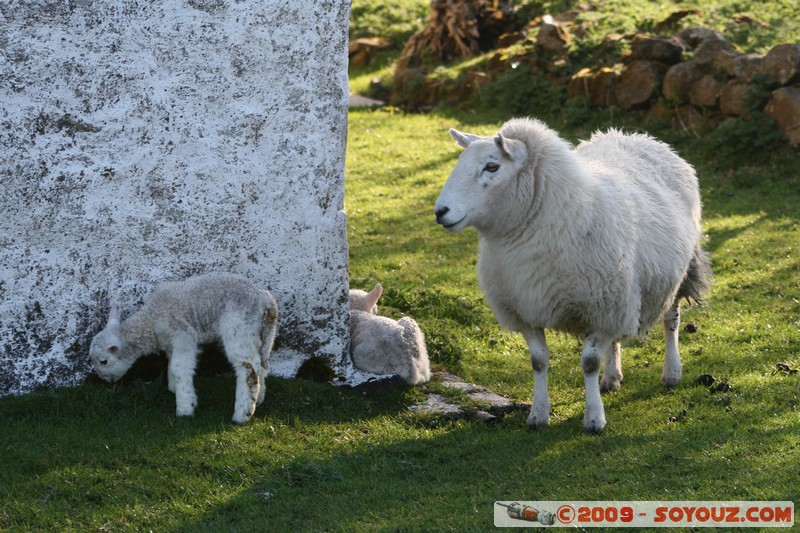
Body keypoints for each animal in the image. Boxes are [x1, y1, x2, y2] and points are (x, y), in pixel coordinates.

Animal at [89, 272, 278, 422]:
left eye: (104, 361)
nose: (105, 381)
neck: (151, 320)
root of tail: (261, 296)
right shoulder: (171, 343)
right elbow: (172, 366)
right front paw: (174, 389)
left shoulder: (183, 336)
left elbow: (179, 369)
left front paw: (185, 407)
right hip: (259, 330)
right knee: (262, 362)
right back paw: (259, 399)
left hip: (238, 326)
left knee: (248, 367)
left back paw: (242, 414)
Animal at [434, 116, 708, 432]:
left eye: (492, 166)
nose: (440, 211)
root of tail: (638, 137)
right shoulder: (527, 308)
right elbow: (538, 361)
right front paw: (538, 415)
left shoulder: (601, 307)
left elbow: (589, 363)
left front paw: (594, 419)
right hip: (620, 290)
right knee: (615, 339)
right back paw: (611, 378)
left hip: (672, 274)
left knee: (671, 321)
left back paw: (672, 372)